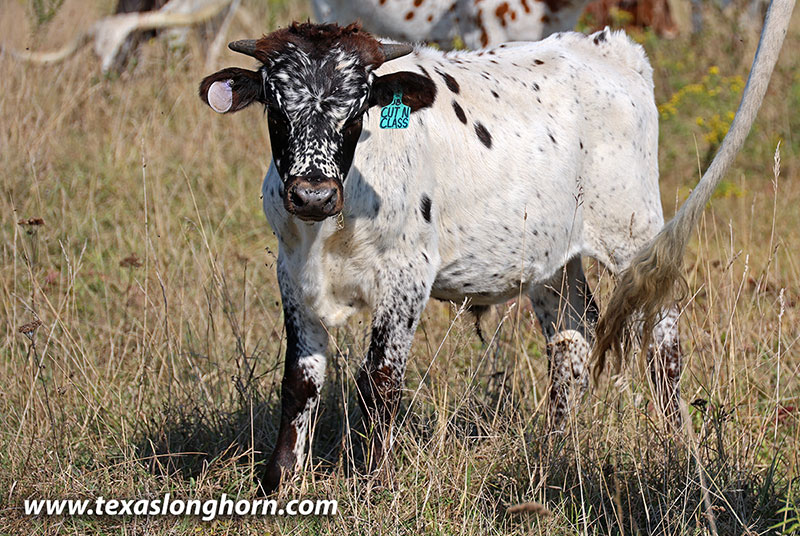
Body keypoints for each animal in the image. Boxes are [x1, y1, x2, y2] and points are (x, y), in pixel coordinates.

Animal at [198, 0, 793, 493]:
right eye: (276, 104)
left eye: (359, 103)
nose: (313, 193)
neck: (333, 224)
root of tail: (605, 46)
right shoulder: (292, 272)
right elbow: (300, 380)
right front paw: (278, 481)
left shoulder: (407, 276)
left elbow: (381, 380)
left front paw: (373, 481)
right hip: (551, 257)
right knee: (573, 334)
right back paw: (554, 448)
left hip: (634, 228)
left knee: (660, 333)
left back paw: (672, 440)